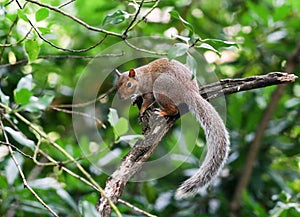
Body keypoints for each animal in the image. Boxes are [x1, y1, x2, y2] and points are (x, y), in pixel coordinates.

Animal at [115, 57, 230, 198]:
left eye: (129, 85)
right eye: (116, 85)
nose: (120, 97)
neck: (141, 77)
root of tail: (190, 91)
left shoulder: (149, 90)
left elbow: (148, 100)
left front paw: (142, 109)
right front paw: (135, 97)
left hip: (161, 86)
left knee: (174, 109)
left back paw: (164, 112)